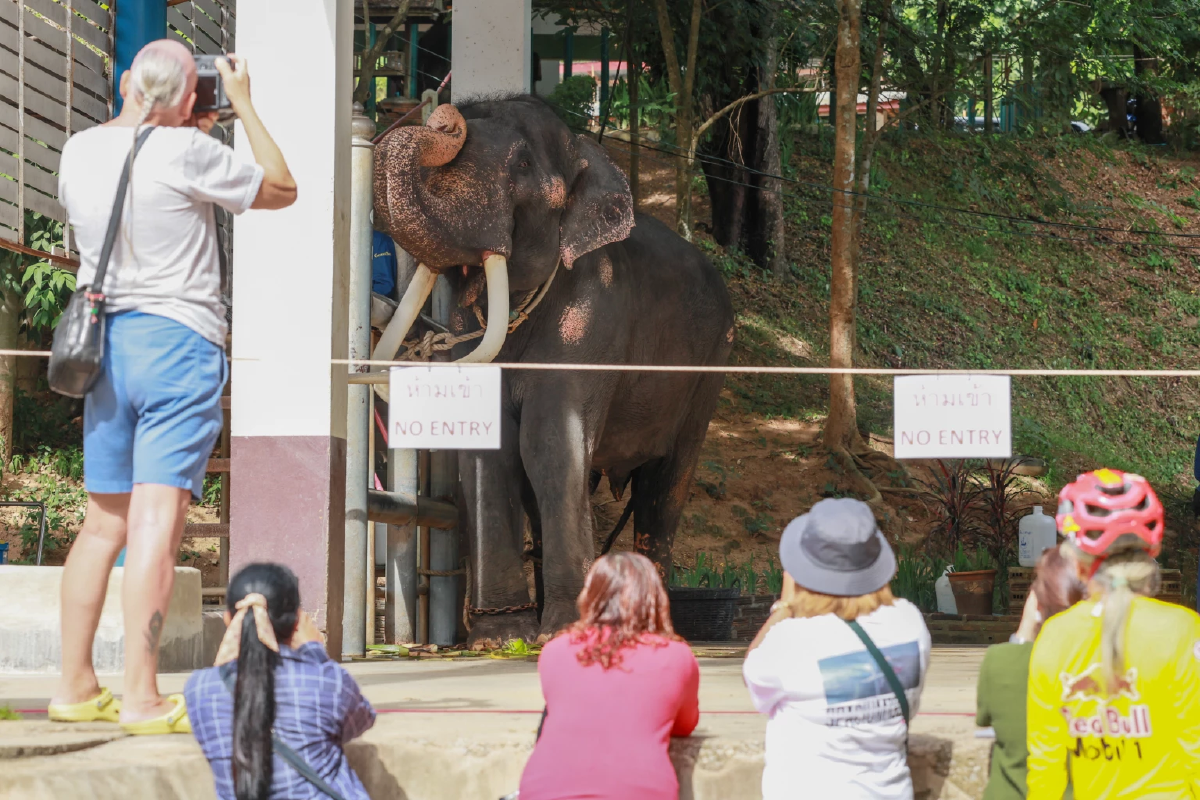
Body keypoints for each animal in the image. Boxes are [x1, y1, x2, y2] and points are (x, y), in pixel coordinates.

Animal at [369, 94, 734, 647]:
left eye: (522, 164)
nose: (444, 117)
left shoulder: (594, 316)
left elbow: (548, 443)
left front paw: (563, 632)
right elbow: (492, 450)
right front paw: (499, 638)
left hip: (710, 369)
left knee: (664, 489)